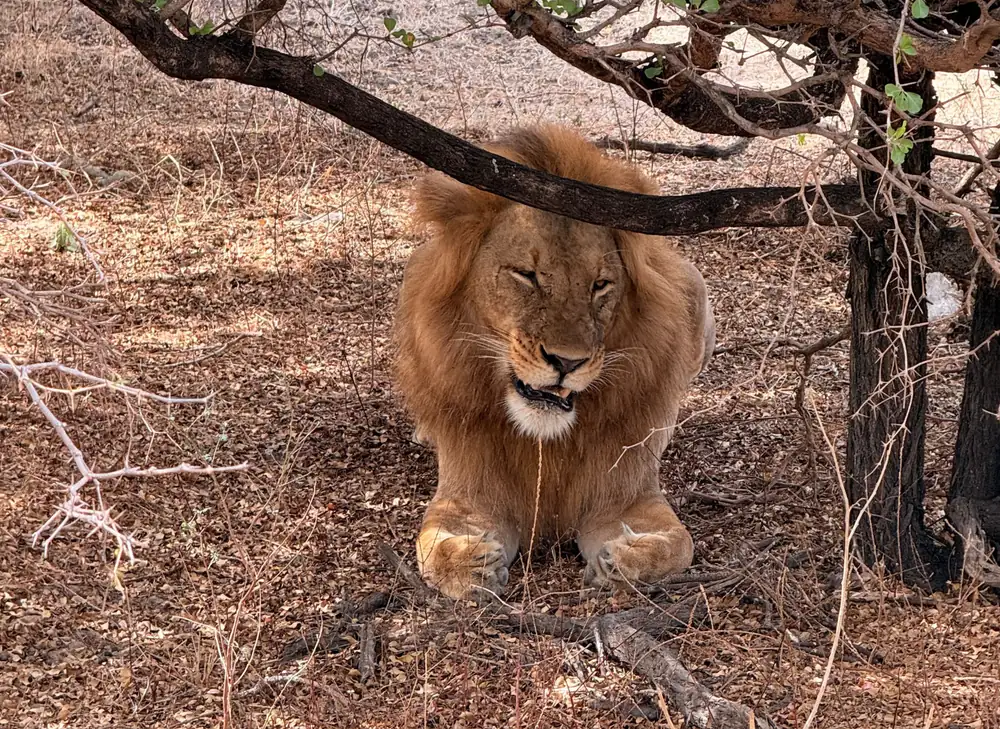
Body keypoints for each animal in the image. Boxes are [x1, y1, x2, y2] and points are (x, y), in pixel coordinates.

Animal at [394, 125, 715, 599]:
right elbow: (433, 544)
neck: (545, 440)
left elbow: (679, 543)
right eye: (526, 275)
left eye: (600, 285)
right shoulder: (469, 493)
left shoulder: (627, 496)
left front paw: (623, 560)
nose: (567, 361)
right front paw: (471, 564)